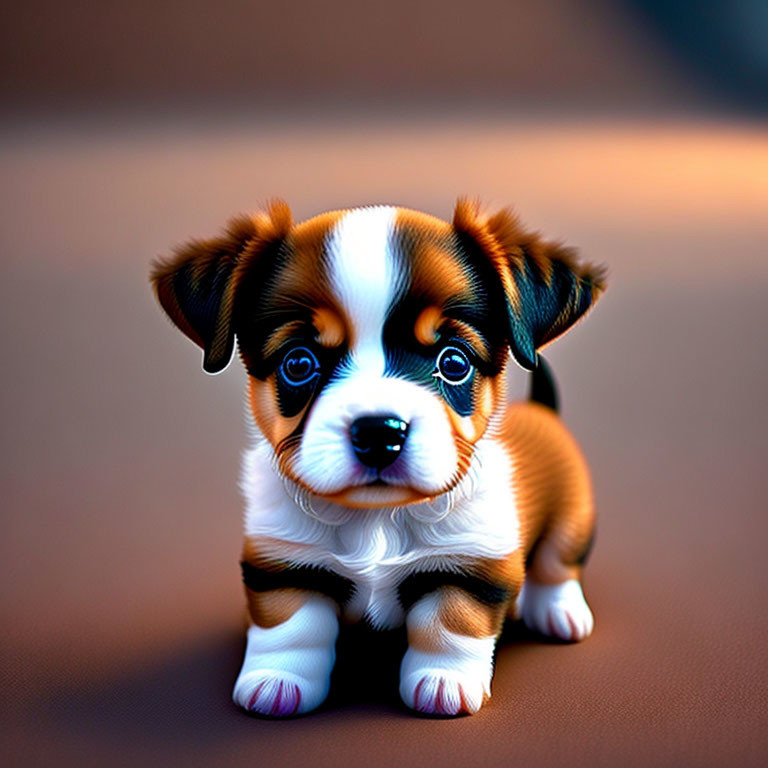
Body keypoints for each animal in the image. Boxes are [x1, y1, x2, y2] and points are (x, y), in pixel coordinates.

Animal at [152, 201, 608, 716]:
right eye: (298, 363)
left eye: (454, 362)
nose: (378, 433)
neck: (378, 518)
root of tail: (542, 410)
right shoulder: (284, 560)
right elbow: (289, 627)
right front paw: (276, 681)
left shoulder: (473, 561)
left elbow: (450, 623)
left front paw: (443, 682)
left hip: (572, 515)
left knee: (557, 563)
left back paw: (559, 611)